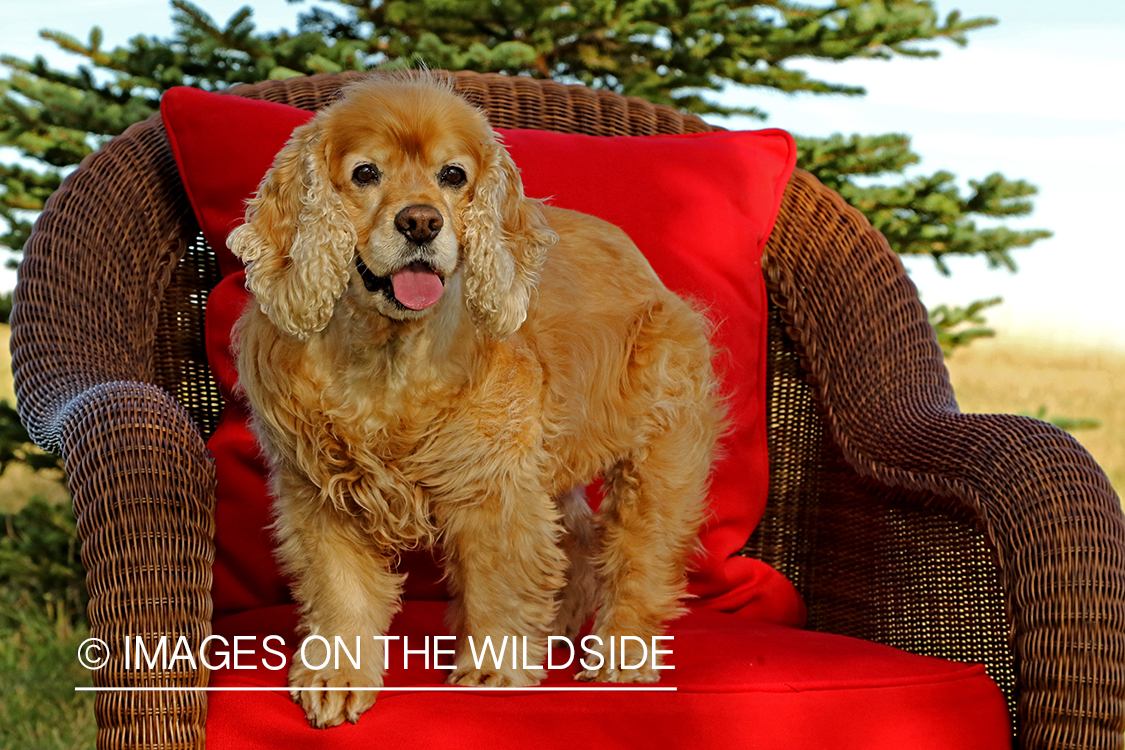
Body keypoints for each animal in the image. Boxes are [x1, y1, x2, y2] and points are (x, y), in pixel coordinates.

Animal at [230, 76, 720, 728]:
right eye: (365, 173)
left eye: (453, 175)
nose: (420, 222)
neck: (388, 355)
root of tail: (643, 264)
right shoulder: (320, 488)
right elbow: (341, 588)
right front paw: (336, 675)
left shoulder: (493, 482)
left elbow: (499, 581)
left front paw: (494, 671)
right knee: (576, 538)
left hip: (655, 454)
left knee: (642, 553)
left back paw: (623, 657)